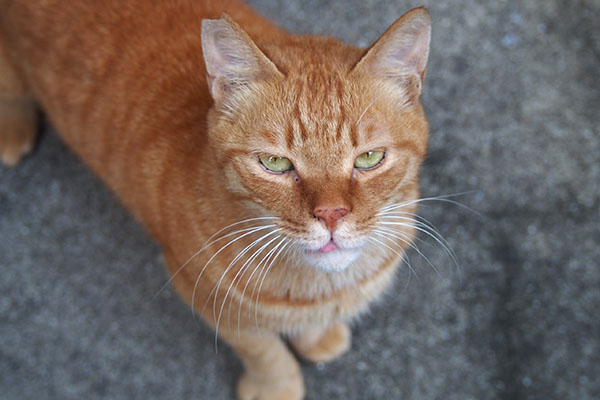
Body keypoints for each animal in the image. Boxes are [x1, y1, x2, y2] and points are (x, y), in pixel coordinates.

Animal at [0, 1, 432, 398]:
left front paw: (315, 336)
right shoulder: (209, 300)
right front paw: (277, 386)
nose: (331, 214)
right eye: (275, 163)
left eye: (369, 158)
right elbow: (265, 352)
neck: (320, 288)